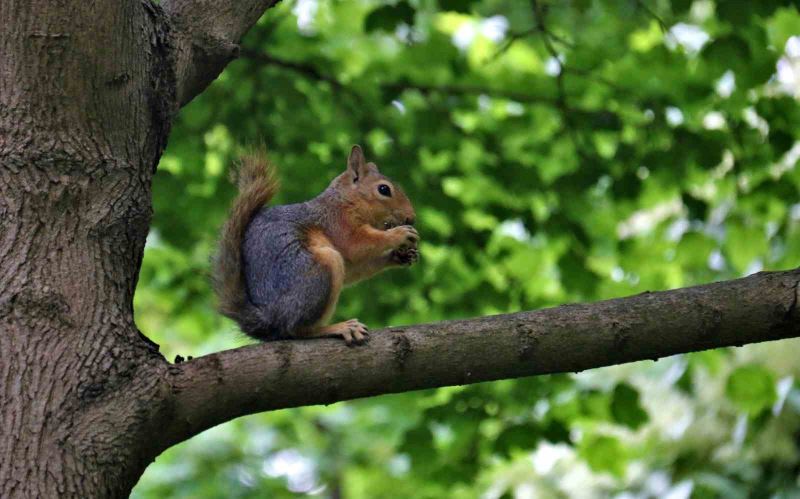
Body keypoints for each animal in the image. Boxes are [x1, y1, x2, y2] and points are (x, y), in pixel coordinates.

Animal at [212, 145, 418, 346]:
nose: (411, 218)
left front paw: (400, 256)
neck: (346, 201)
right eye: (384, 189)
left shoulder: (348, 259)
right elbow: (358, 245)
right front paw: (399, 234)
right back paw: (339, 328)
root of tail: (270, 319)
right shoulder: (338, 224)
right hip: (320, 270)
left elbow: (356, 268)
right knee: (295, 330)